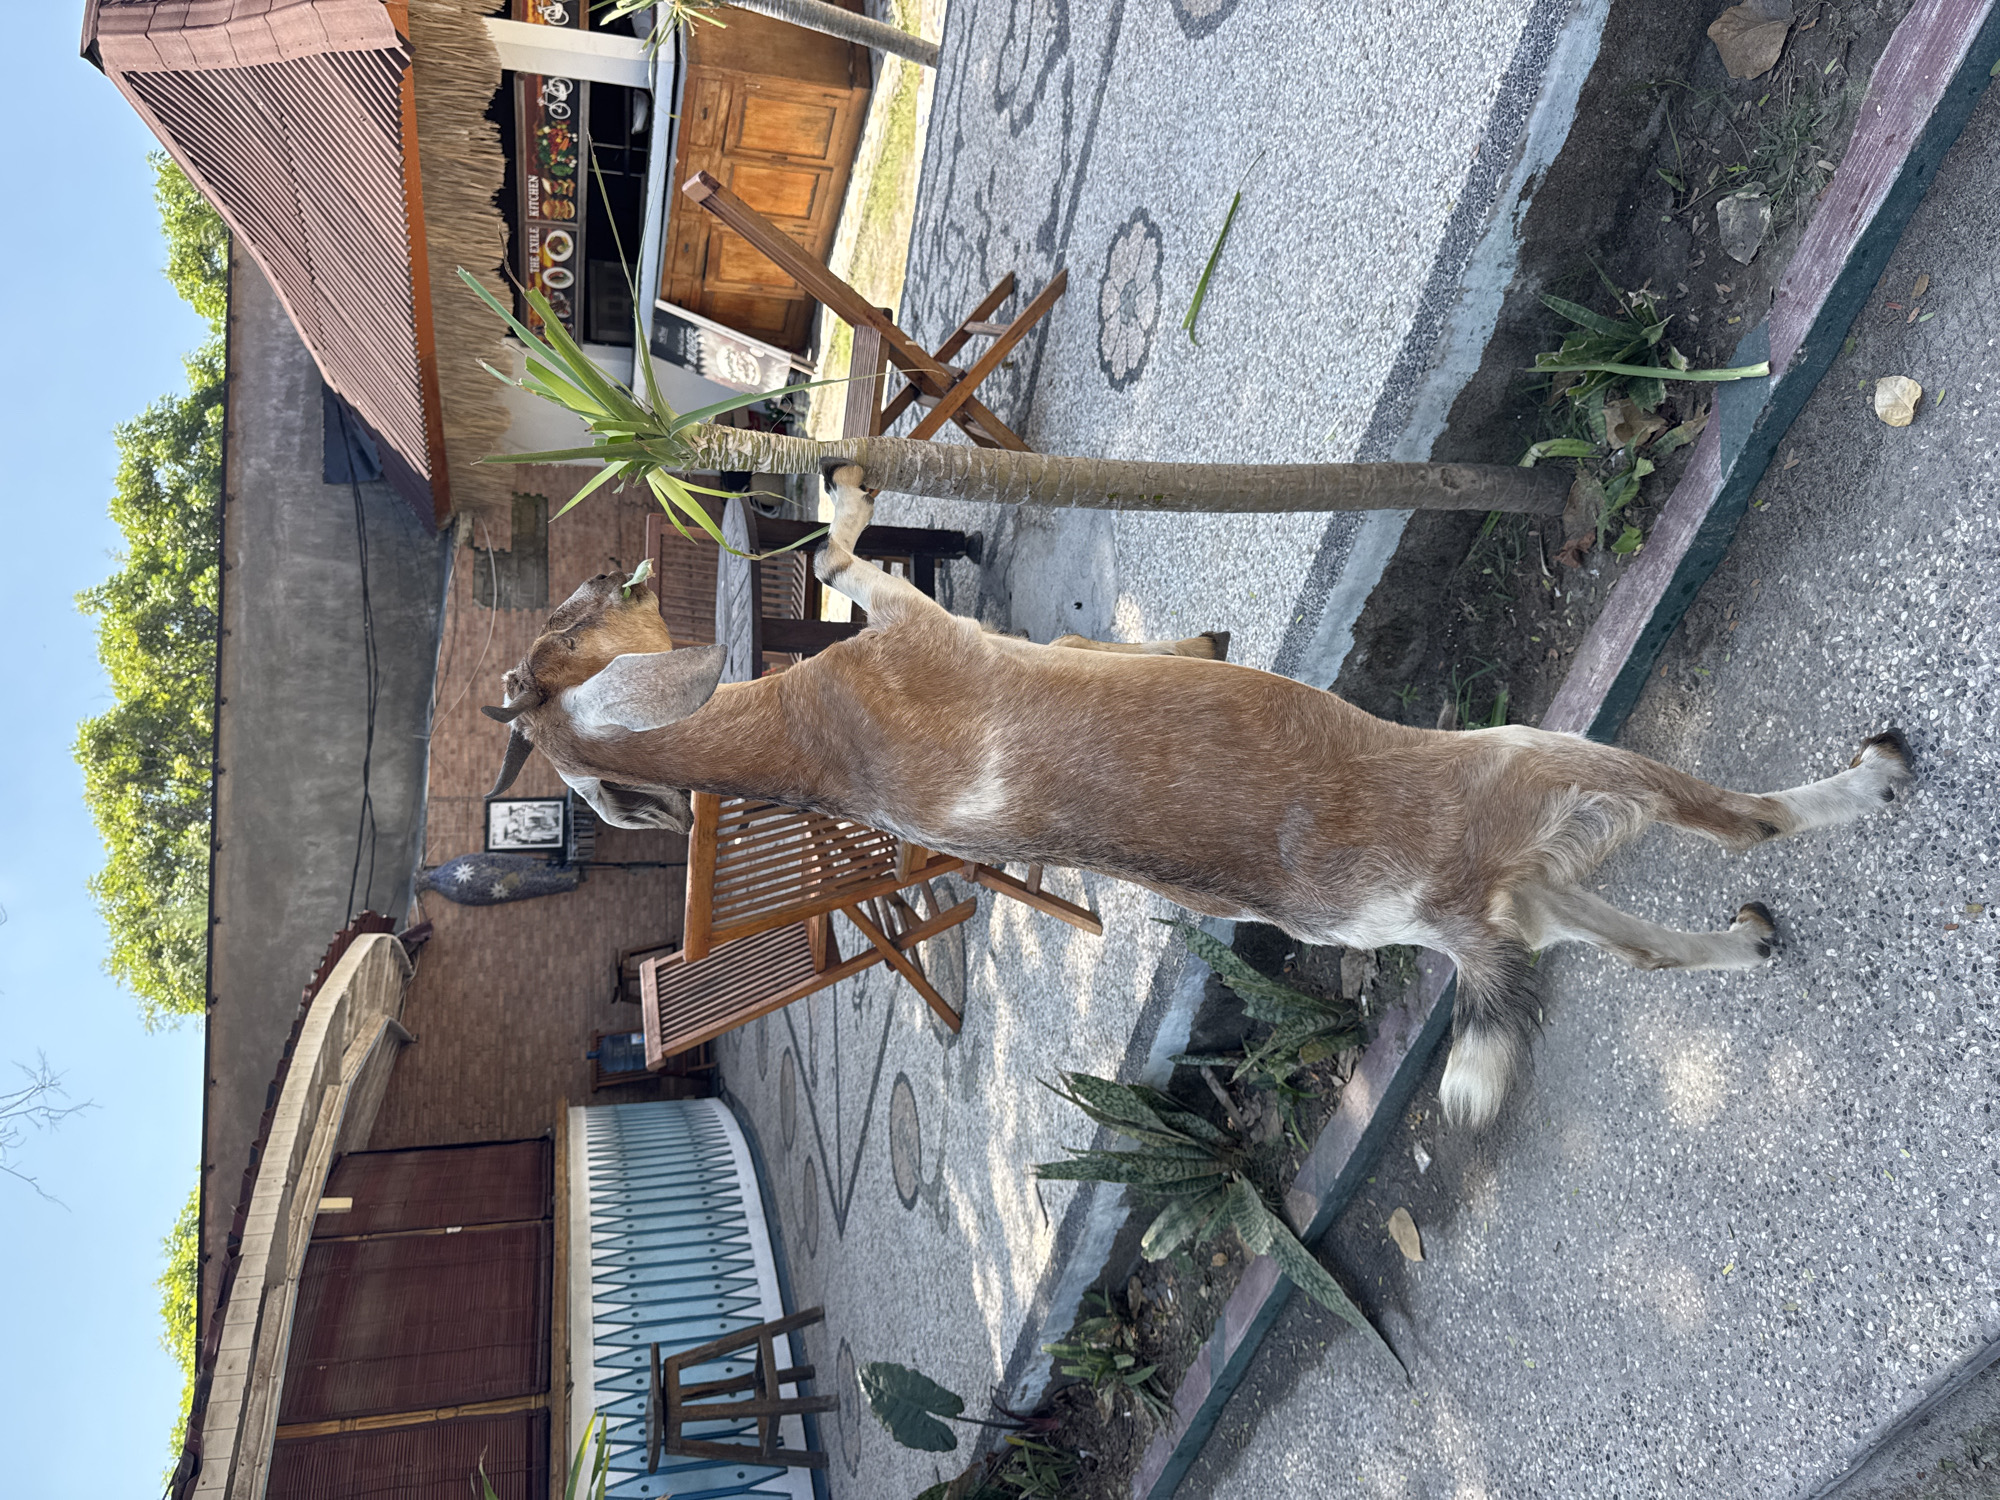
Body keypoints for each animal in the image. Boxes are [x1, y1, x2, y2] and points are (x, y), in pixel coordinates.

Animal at [484, 465, 1912, 1129]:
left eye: (573, 615)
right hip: (1535, 760)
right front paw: (841, 493)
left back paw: (1746, 939)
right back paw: (1864, 782)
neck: (799, 736)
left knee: (1649, 947)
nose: (614, 567)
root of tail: (1438, 906)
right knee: (1738, 822)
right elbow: (843, 557)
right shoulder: (901, 619)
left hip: (1538, 885)